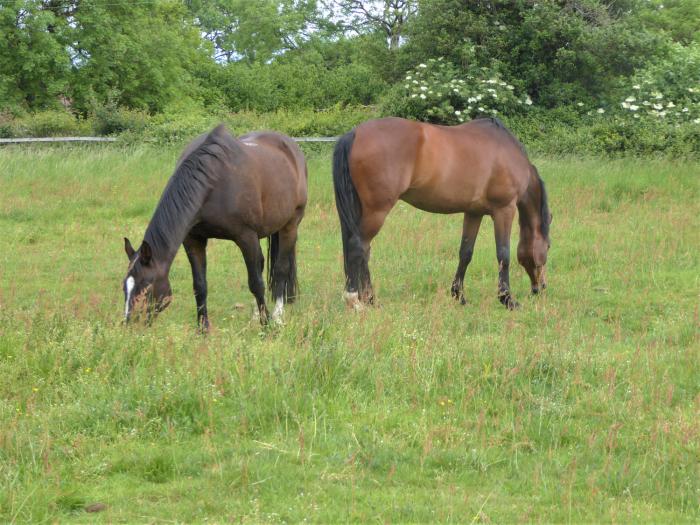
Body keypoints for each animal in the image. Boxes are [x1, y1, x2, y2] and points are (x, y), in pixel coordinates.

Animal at [122, 124, 306, 326]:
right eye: (125, 287)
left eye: (147, 287)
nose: (130, 324)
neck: (213, 181)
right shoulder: (193, 239)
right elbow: (200, 285)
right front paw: (203, 328)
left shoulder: (246, 237)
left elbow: (256, 283)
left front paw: (266, 325)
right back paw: (255, 315)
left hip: (290, 225)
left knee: (280, 269)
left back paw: (277, 316)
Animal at [334, 116, 552, 310]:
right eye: (548, 247)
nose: (540, 287)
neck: (507, 152)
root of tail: (355, 133)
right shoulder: (504, 210)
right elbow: (503, 255)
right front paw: (507, 299)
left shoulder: (473, 213)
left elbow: (465, 253)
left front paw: (459, 296)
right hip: (376, 211)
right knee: (358, 247)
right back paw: (355, 301)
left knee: (363, 251)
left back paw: (370, 300)